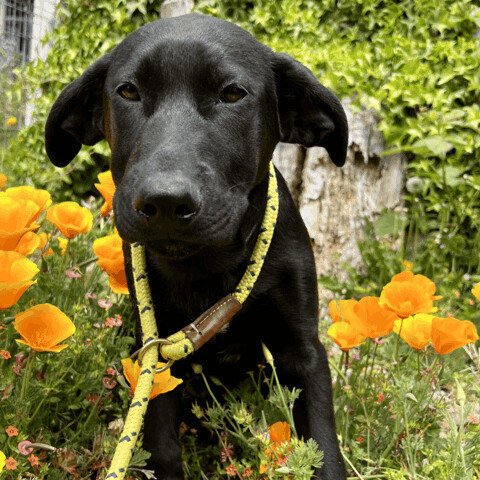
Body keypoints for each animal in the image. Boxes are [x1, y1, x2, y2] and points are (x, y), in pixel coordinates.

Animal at [46, 13, 348, 478]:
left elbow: (323, 449)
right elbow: (163, 445)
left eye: (233, 93)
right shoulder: (155, 350)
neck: (209, 265)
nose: (166, 203)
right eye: (128, 91)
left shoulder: (302, 351)